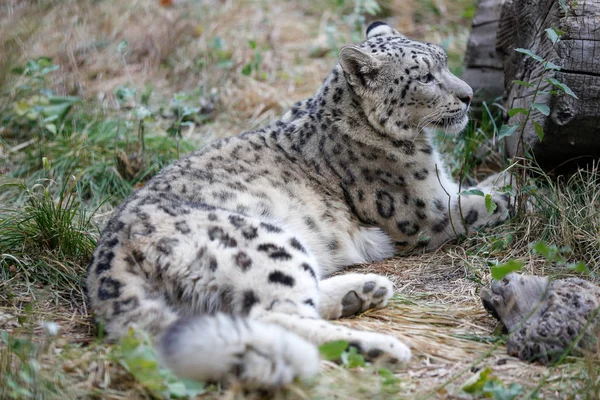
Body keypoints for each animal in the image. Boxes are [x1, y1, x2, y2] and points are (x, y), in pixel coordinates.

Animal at [86, 21, 508, 388]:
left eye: (444, 61)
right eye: (423, 77)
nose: (469, 95)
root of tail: (107, 260)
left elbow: (483, 189)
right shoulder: (426, 210)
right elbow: (484, 204)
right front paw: (517, 191)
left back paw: (363, 291)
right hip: (265, 241)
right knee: (274, 315)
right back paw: (381, 345)